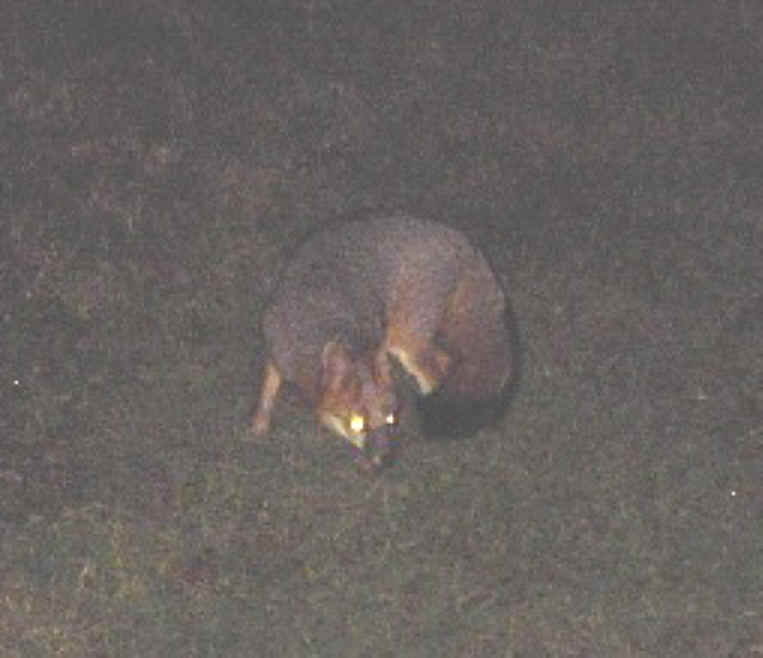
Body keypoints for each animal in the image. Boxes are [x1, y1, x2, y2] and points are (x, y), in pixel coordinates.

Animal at [251, 215, 515, 468]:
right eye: (357, 423)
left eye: (391, 419)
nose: (386, 460)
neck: (319, 320)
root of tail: (464, 243)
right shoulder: (274, 346)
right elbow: (267, 390)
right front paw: (258, 426)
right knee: (446, 362)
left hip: (407, 342)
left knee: (439, 371)